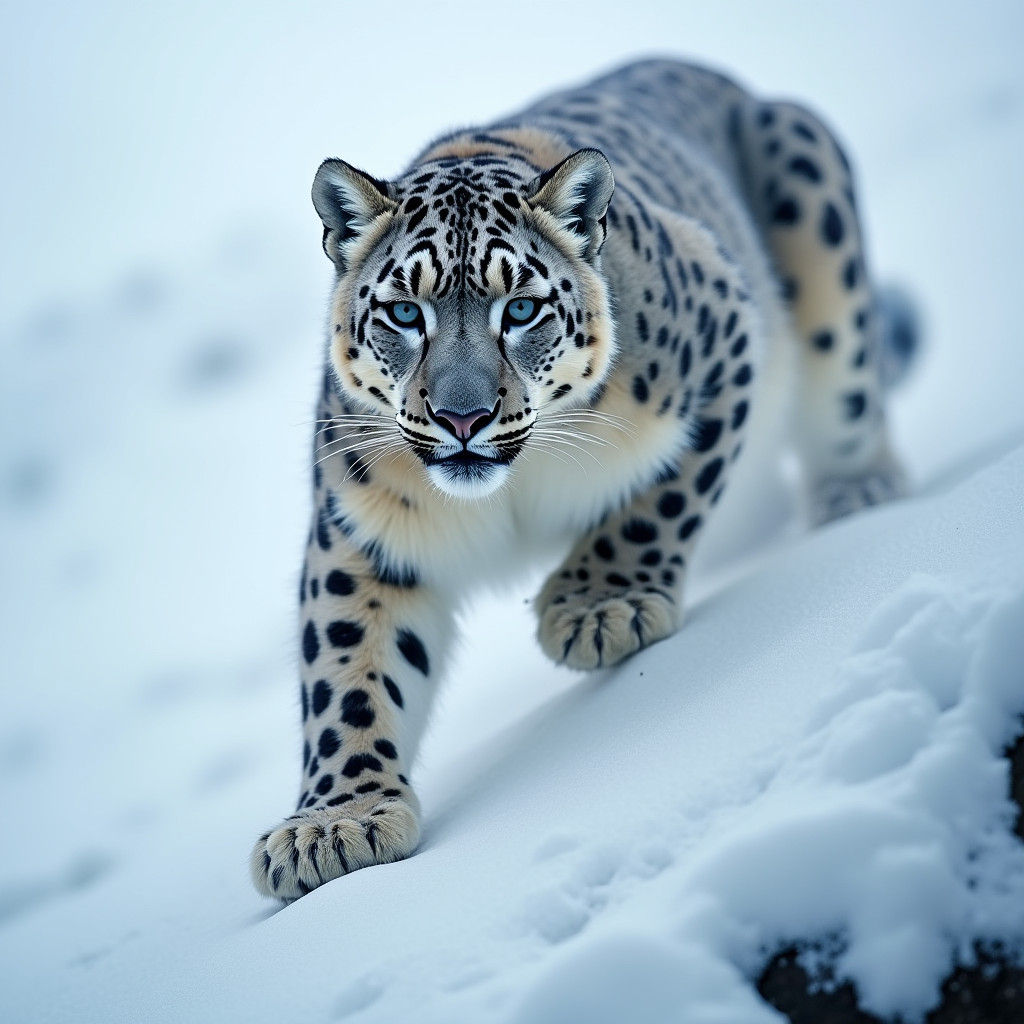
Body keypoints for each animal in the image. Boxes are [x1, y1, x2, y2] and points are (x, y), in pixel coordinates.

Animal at [250, 57, 916, 899]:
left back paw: (856, 494)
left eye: (520, 308)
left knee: (847, 396)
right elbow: (346, 664)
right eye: (404, 313)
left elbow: (659, 502)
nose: (462, 417)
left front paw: (599, 608)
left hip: (820, 251)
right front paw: (335, 822)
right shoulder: (363, 525)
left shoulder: (723, 343)